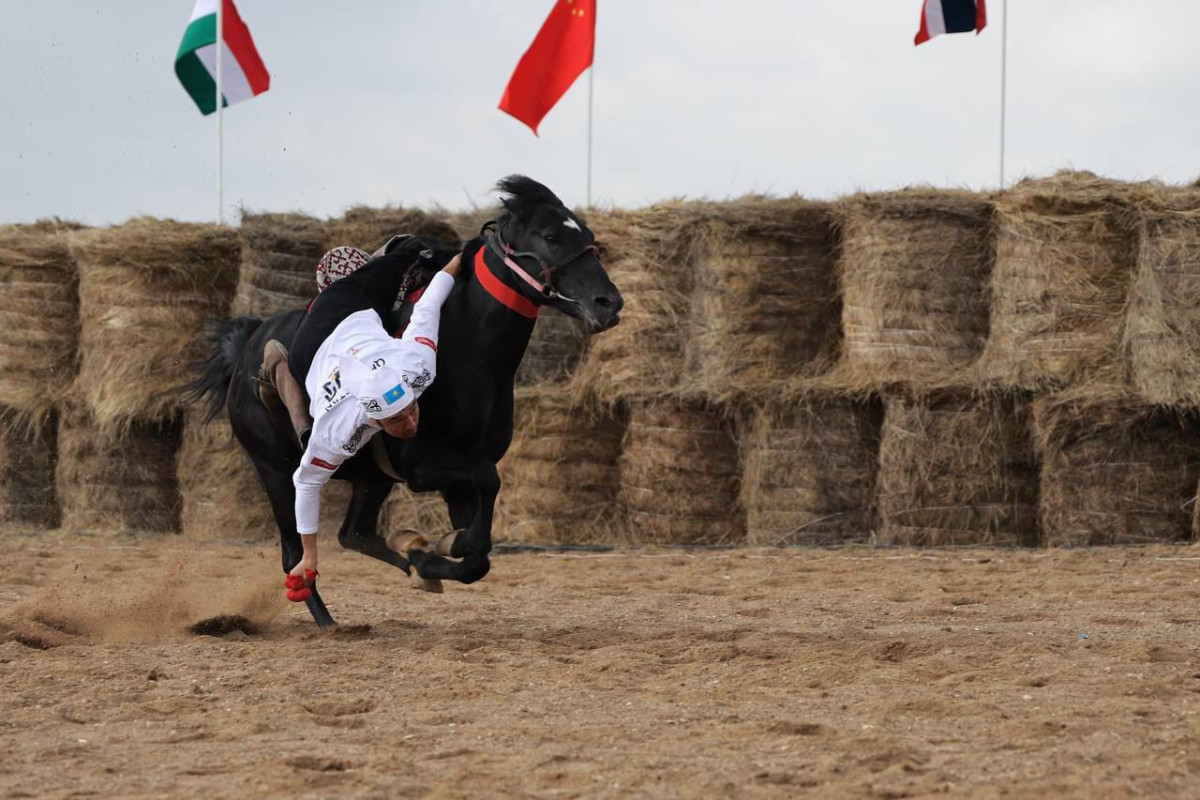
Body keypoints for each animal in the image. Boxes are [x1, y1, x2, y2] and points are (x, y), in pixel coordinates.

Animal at [184, 178, 628, 628]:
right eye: (551, 236)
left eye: (587, 235)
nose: (609, 303)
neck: (471, 346)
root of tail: (247, 348)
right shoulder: (425, 466)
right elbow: (487, 489)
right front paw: (438, 549)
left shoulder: (456, 472)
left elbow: (478, 557)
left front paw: (432, 556)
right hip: (275, 471)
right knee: (295, 554)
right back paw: (327, 621)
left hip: (372, 478)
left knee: (355, 534)